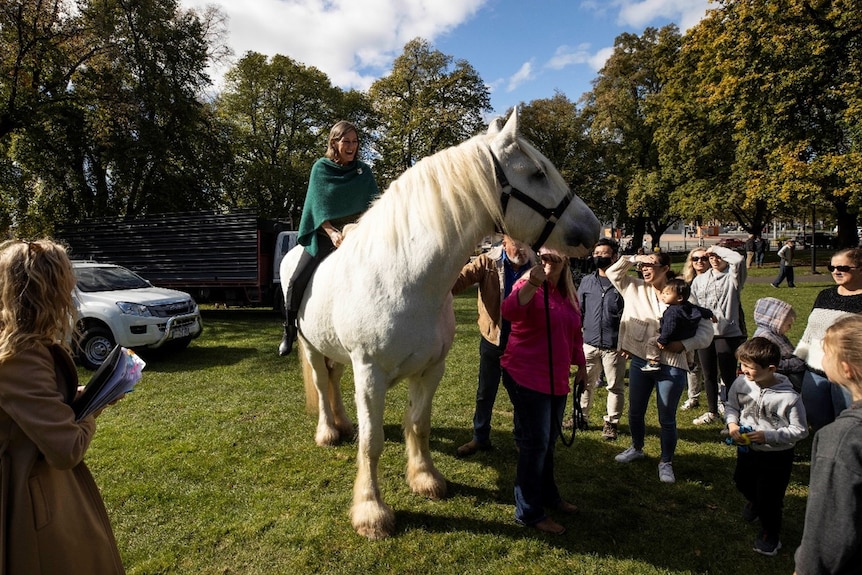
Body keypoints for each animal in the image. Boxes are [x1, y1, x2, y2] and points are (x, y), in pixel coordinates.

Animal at [284, 111, 600, 540]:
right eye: (537, 173)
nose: (594, 229)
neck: (405, 277)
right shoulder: (369, 374)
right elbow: (372, 442)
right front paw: (371, 511)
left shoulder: (432, 369)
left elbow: (418, 424)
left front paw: (425, 479)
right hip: (311, 347)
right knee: (320, 383)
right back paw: (329, 431)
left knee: (333, 380)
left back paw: (343, 423)